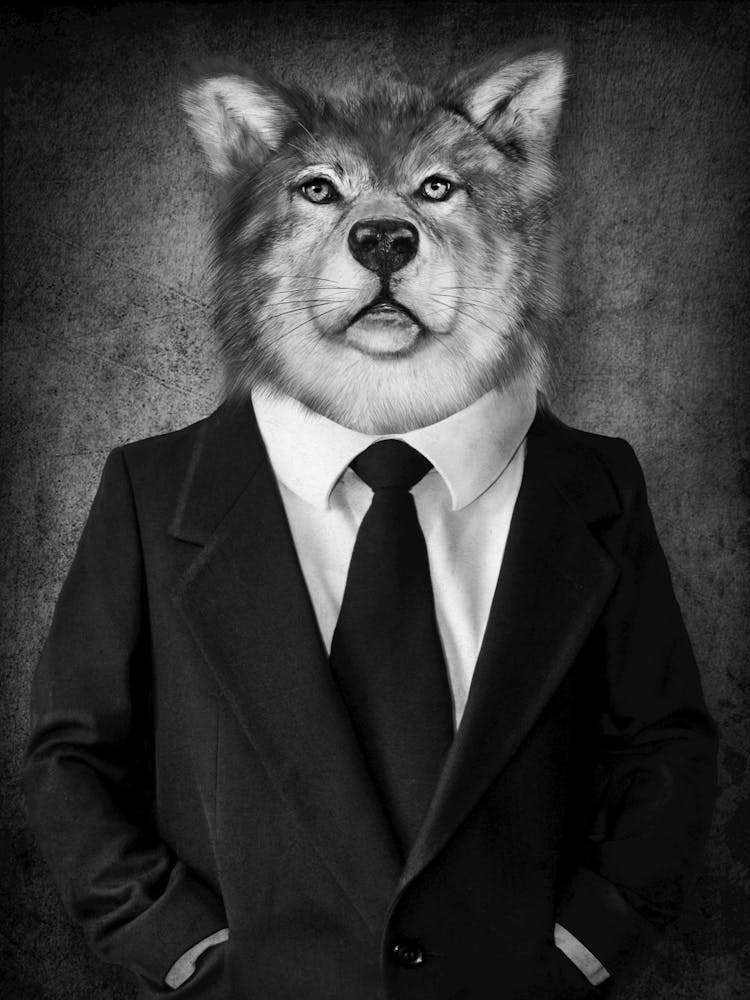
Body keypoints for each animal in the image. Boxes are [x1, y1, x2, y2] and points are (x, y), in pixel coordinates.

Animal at [24, 46, 716, 1000]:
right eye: (319, 189)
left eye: (437, 187)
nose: (384, 239)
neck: (386, 434)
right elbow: (80, 746)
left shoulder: (652, 671)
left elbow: (664, 739)